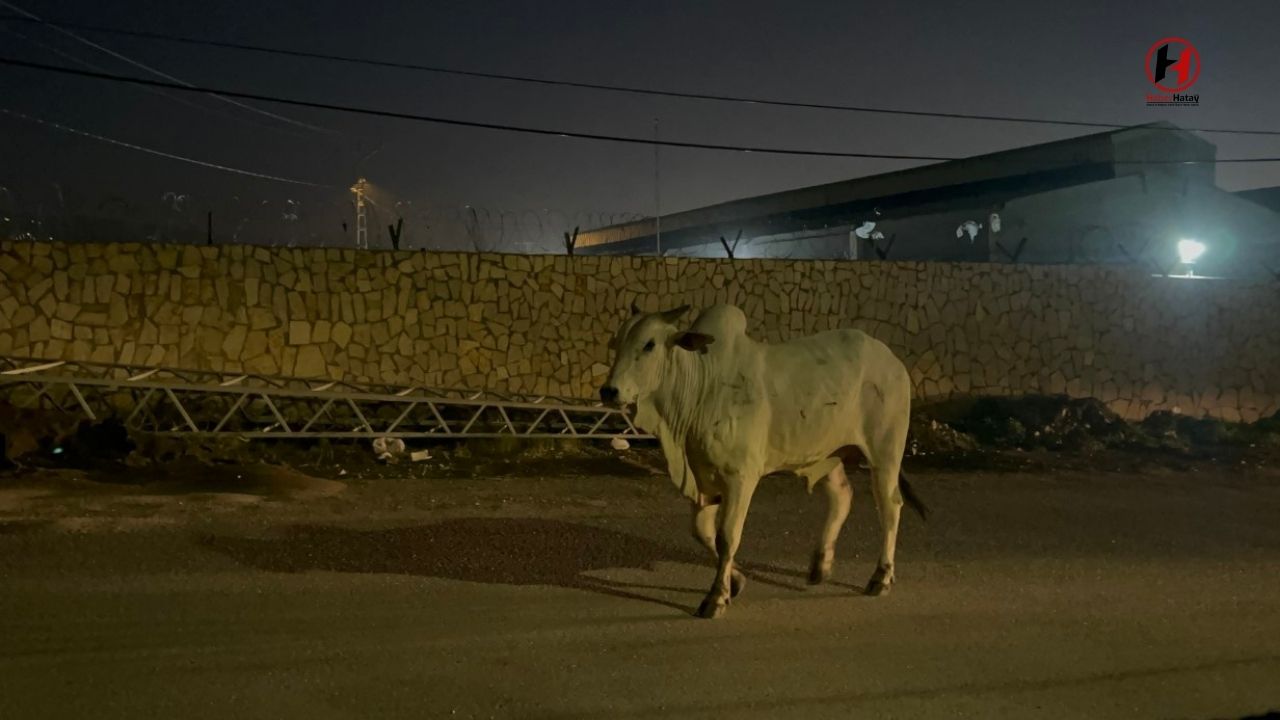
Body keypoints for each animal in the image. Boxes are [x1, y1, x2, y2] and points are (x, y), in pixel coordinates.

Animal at [604, 302, 926, 617]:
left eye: (649, 344)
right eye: (618, 342)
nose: (608, 390)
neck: (701, 388)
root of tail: (892, 360)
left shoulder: (740, 478)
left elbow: (726, 536)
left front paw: (716, 598)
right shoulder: (703, 478)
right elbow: (702, 532)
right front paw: (736, 581)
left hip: (885, 453)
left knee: (890, 506)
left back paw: (881, 577)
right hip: (828, 453)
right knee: (842, 495)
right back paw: (820, 566)